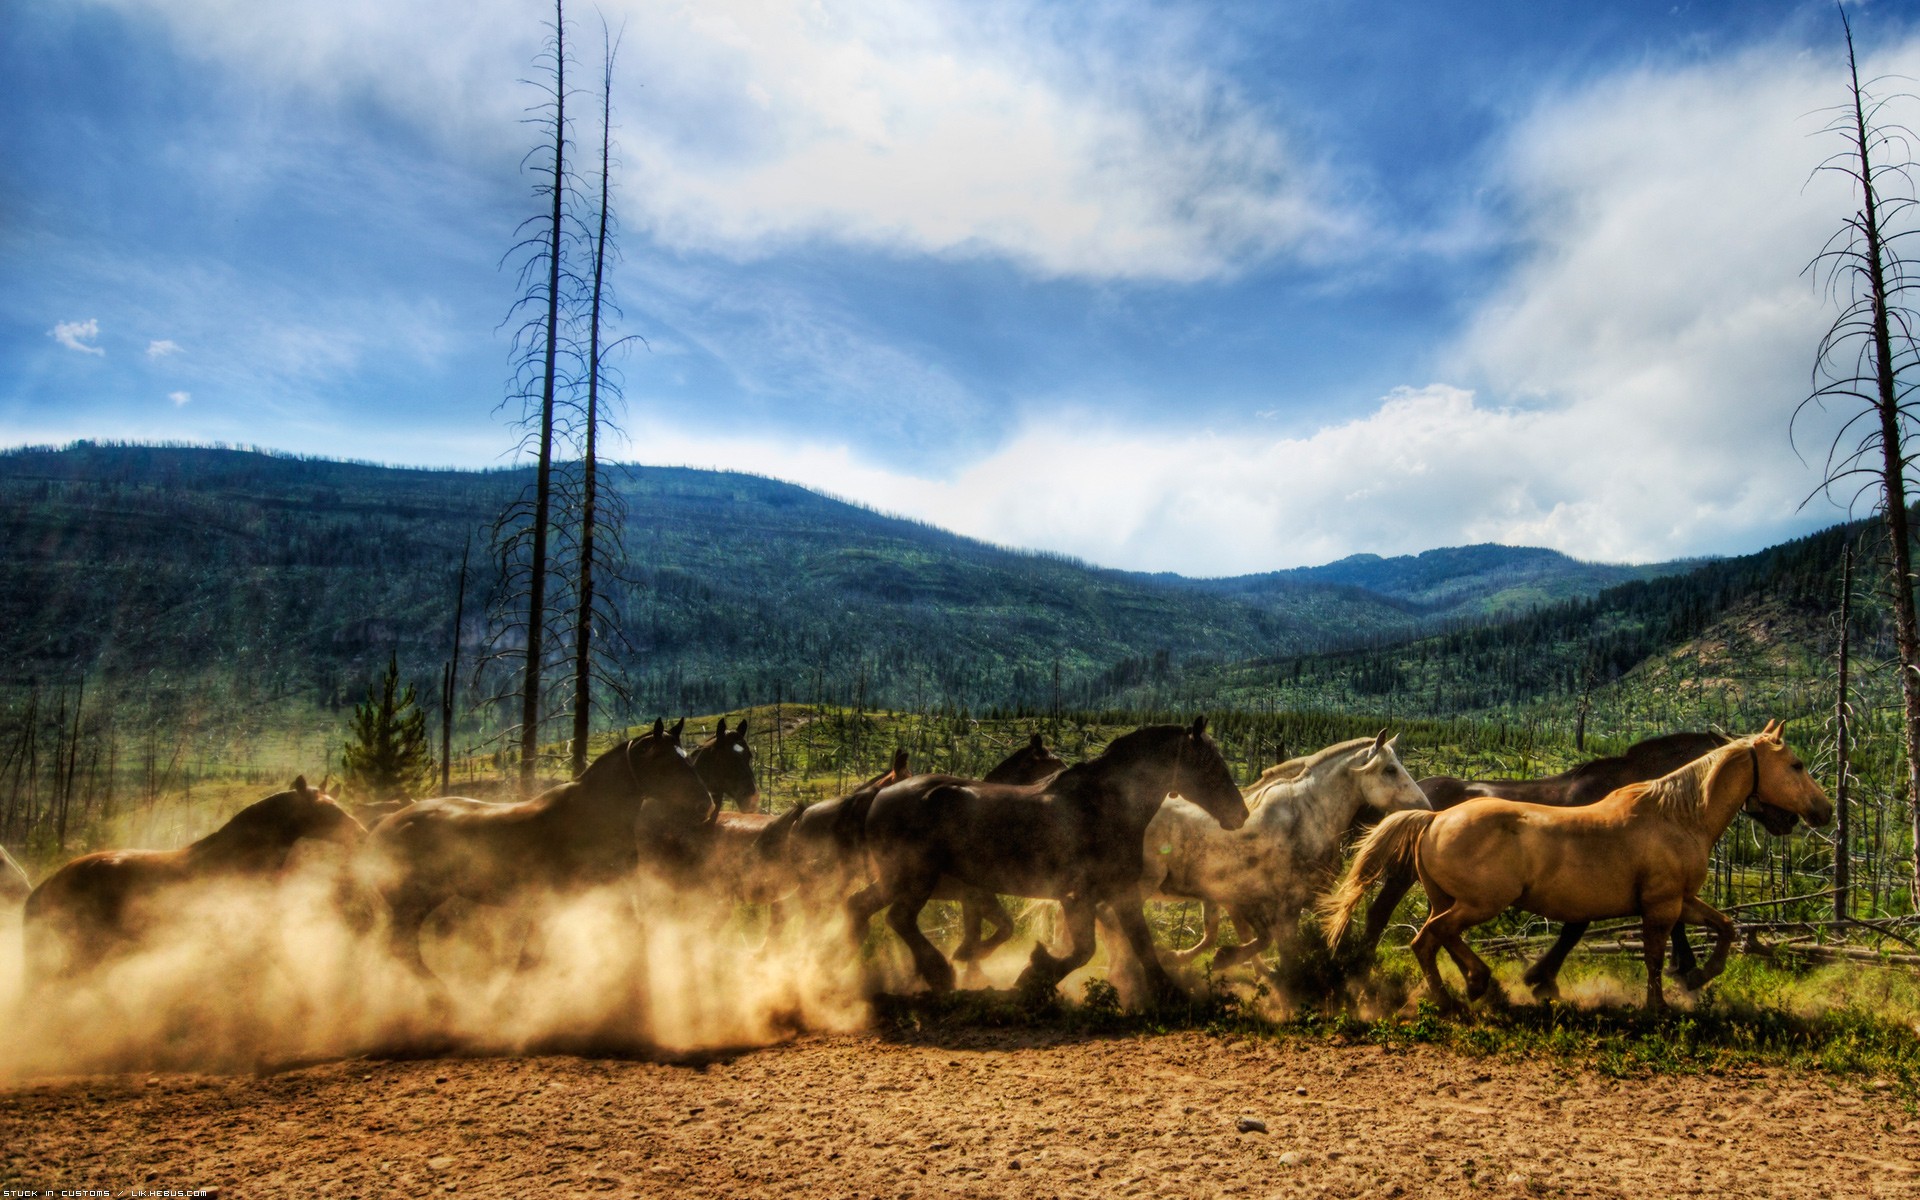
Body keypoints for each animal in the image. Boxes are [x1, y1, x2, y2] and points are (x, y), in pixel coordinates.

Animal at [366, 721, 714, 983]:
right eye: (665, 761)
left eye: (687, 756)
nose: (705, 804)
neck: (591, 815)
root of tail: (387, 823)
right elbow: (530, 958)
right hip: (410, 903)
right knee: (401, 950)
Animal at [856, 714, 1244, 1006]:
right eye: (1209, 764)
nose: (1239, 813)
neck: (1104, 806)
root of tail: (881, 797)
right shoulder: (1078, 896)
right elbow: (1084, 950)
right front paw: (1033, 976)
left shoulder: (1120, 892)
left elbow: (1142, 944)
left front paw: (1170, 993)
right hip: (915, 879)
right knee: (898, 918)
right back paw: (938, 972)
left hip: (896, 880)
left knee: (859, 907)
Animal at [1136, 729, 1428, 975]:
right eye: (1390, 769)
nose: (1426, 805)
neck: (1308, 813)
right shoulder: (1280, 901)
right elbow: (1277, 946)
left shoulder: (1306, 896)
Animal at [1320, 721, 1827, 1013]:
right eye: (1797, 765)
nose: (1823, 811)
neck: (1673, 811)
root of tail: (1428, 814)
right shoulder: (1650, 896)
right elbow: (1635, 941)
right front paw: (1674, 986)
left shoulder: (1663, 895)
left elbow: (1721, 925)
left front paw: (1694, 975)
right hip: (1464, 896)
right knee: (1401, 923)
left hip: (1448, 896)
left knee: (1432, 931)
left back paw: (1470, 985)